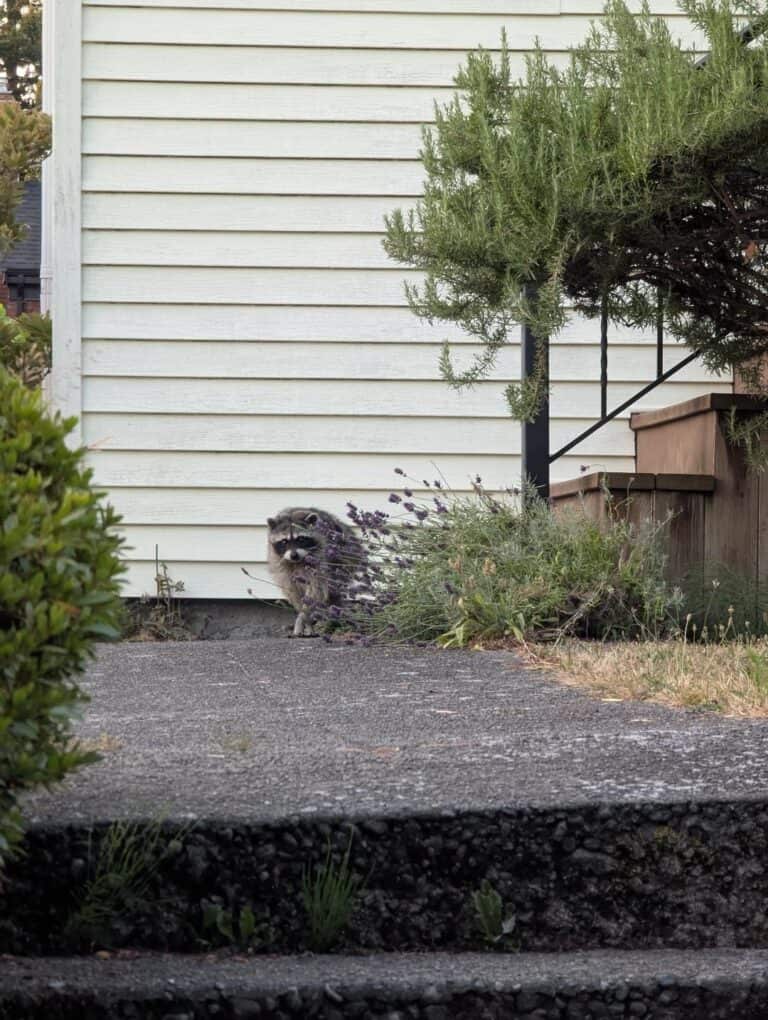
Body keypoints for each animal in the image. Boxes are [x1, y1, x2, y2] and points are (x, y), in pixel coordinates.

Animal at [266, 507, 366, 637]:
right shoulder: (280, 564)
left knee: (333, 591)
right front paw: (304, 617)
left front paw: (304, 616)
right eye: (284, 541)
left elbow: (317, 590)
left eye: (301, 539)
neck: (298, 561)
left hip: (344, 559)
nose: (293, 555)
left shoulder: (321, 559)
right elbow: (293, 592)